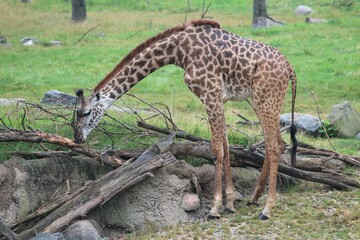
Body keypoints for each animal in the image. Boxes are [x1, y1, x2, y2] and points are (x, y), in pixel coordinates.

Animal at [74, 19, 298, 220]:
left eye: (84, 112)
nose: (77, 137)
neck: (179, 51)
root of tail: (290, 68)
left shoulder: (210, 94)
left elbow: (216, 149)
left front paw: (215, 208)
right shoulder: (220, 98)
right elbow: (225, 148)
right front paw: (229, 205)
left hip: (265, 98)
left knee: (275, 145)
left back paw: (267, 210)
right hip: (263, 99)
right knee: (278, 143)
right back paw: (254, 197)